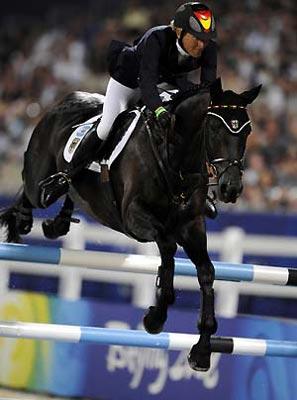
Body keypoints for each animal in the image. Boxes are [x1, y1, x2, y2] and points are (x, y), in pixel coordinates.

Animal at [0, 78, 260, 372]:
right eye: (215, 127)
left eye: (248, 131)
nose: (231, 188)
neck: (175, 156)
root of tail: (62, 102)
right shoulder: (135, 217)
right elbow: (167, 247)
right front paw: (156, 317)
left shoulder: (191, 225)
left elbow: (206, 272)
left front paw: (202, 350)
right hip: (38, 179)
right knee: (31, 192)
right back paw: (23, 220)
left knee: (70, 193)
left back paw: (58, 223)